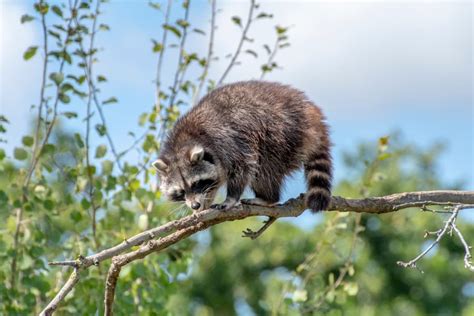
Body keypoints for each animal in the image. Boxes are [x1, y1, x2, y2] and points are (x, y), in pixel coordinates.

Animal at [154, 80, 332, 212]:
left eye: (196, 183)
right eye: (181, 191)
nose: (195, 205)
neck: (183, 141)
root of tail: (309, 111)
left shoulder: (226, 142)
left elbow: (243, 167)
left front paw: (231, 198)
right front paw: (204, 203)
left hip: (282, 133)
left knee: (264, 167)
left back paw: (268, 198)